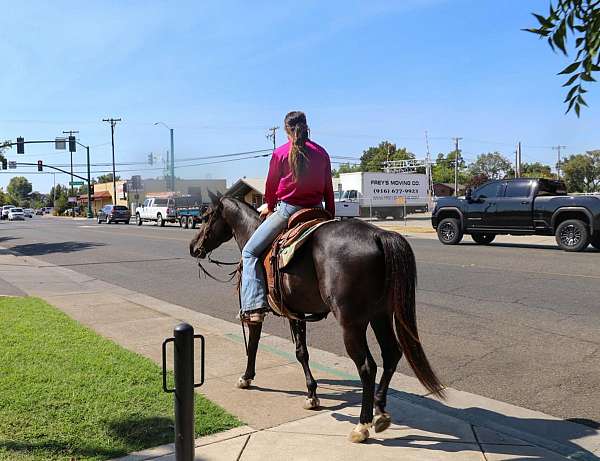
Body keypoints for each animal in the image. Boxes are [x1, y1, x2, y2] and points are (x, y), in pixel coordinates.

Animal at [189, 191, 446, 442]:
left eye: (206, 216)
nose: (193, 247)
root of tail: (378, 235)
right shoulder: (297, 313)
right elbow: (302, 352)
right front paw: (312, 394)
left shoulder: (258, 311)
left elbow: (254, 344)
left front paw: (246, 377)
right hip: (380, 315)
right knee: (391, 354)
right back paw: (380, 411)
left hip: (352, 323)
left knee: (367, 366)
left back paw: (362, 425)